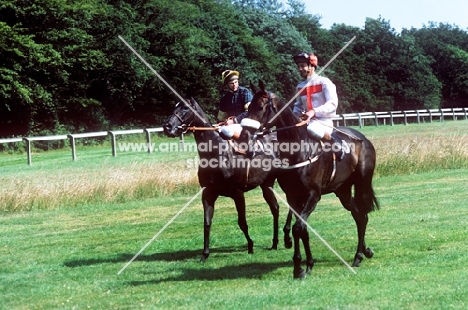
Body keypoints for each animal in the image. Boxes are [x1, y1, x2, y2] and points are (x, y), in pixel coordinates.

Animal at [163, 97, 290, 262]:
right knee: (275, 209)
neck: (218, 153)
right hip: (266, 185)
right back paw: (275, 243)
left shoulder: (237, 193)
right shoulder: (208, 194)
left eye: (185, 108)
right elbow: (207, 223)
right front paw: (205, 254)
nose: (167, 127)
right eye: (175, 106)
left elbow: (242, 222)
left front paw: (250, 246)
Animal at [241, 81, 380, 278]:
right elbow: (303, 229)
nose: (244, 135)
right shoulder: (293, 197)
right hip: (342, 191)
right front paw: (306, 264)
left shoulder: (313, 196)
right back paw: (364, 252)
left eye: (260, 107)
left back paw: (358, 255)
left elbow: (298, 228)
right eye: (249, 107)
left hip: (361, 184)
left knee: (363, 215)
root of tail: (364, 139)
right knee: (359, 215)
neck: (299, 151)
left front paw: (299, 268)